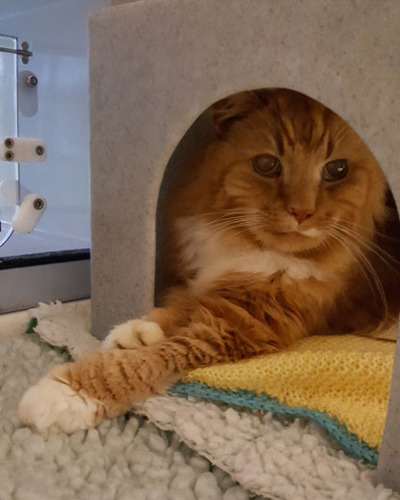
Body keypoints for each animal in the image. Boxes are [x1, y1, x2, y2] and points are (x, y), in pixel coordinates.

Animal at [18, 88, 400, 432]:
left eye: (337, 169)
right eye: (267, 165)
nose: (302, 212)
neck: (248, 246)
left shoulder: (244, 323)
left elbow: (141, 362)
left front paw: (66, 396)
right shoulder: (224, 294)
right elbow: (176, 308)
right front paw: (137, 332)